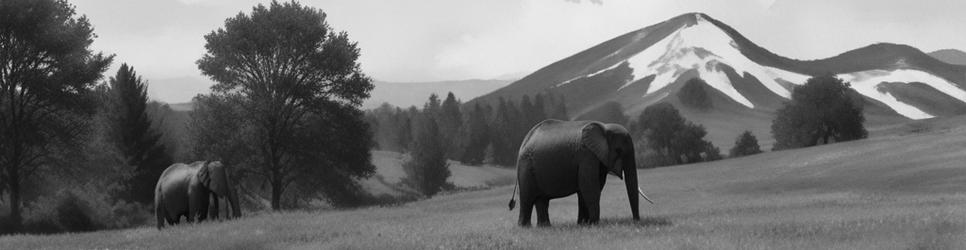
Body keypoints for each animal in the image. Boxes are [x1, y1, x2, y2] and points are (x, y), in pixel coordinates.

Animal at [510, 119, 656, 227]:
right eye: (618, 150)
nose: (636, 221)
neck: (604, 127)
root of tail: (524, 142)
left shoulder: (596, 157)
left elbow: (587, 188)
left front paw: (584, 225)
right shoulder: (587, 155)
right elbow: (589, 186)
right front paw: (595, 225)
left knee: (541, 200)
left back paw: (545, 227)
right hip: (525, 167)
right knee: (527, 198)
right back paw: (525, 227)